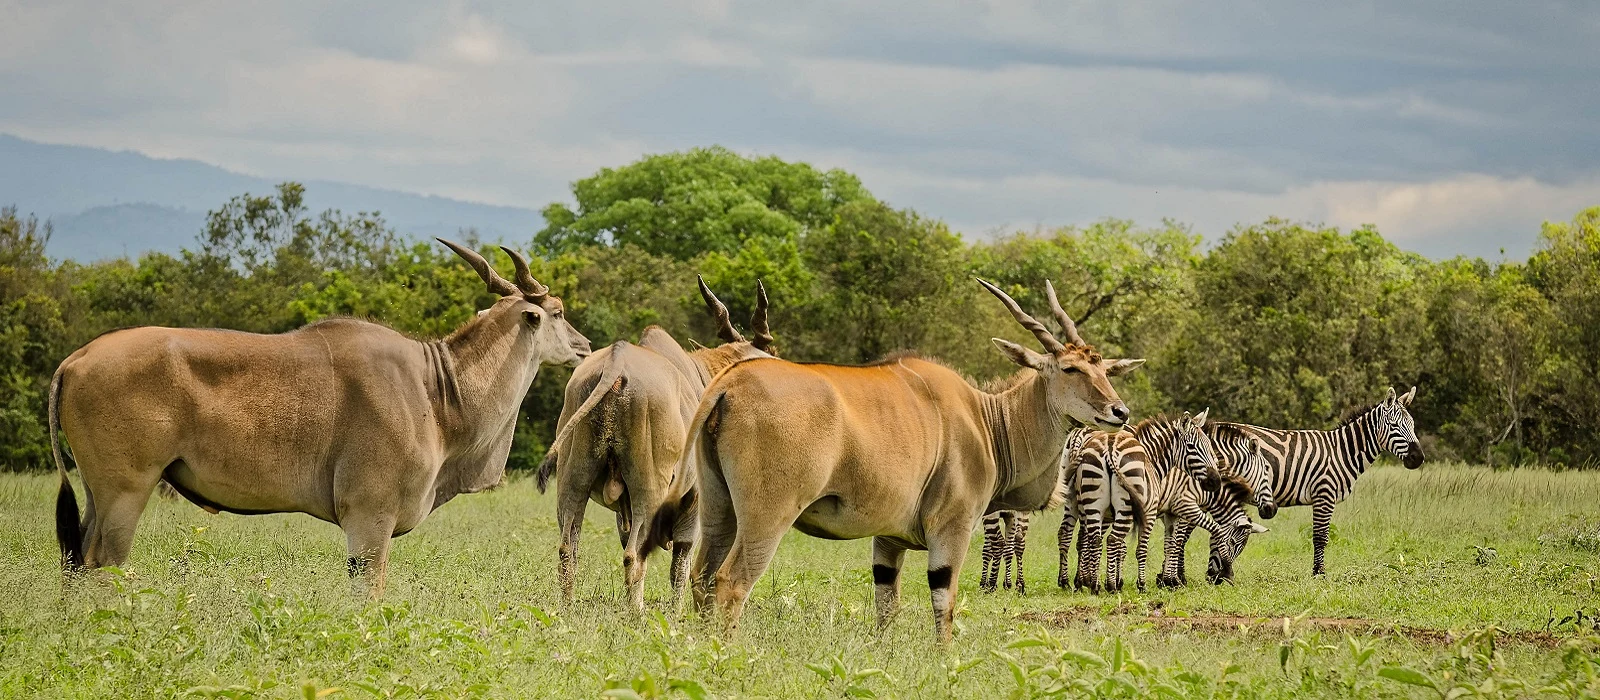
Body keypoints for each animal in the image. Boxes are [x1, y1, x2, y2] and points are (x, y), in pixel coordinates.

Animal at [1215, 386, 1423, 576]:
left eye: (1413, 425)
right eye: (1394, 426)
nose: (1418, 458)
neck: (1342, 451)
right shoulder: (1325, 494)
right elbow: (1320, 537)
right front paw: (1319, 573)